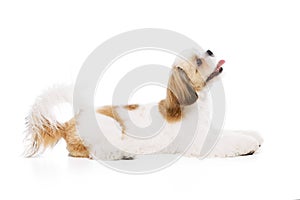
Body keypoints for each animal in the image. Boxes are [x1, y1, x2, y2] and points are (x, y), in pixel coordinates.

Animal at [25, 47, 262, 160]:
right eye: (198, 62)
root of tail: (68, 123)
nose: (211, 51)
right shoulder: (200, 143)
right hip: (106, 128)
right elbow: (229, 142)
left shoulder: (209, 129)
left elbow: (232, 132)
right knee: (98, 152)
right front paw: (248, 145)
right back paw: (123, 154)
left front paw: (253, 135)